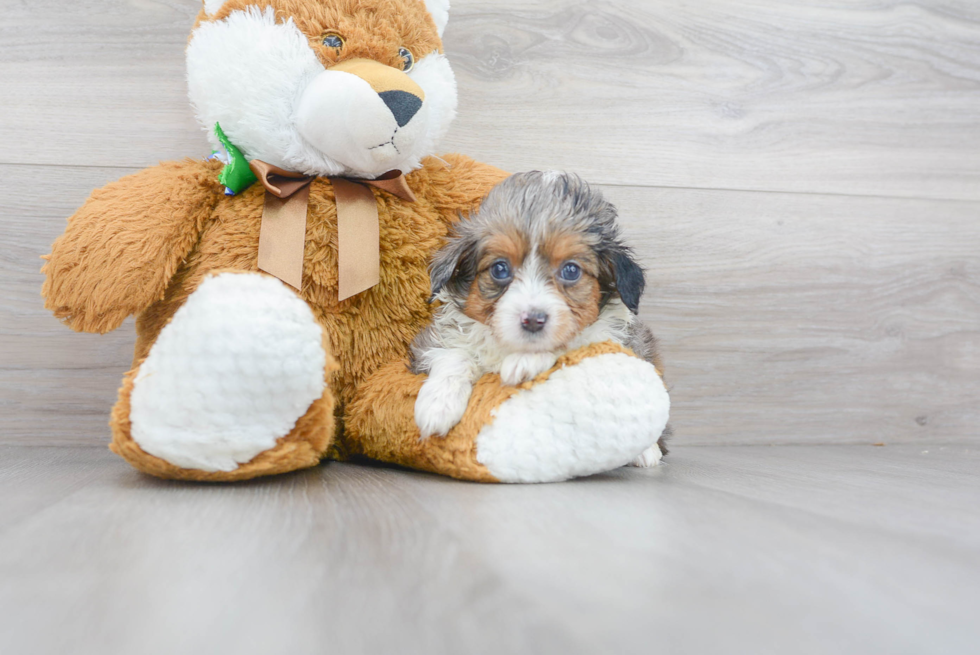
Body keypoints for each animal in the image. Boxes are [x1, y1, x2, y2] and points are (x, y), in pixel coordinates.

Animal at [410, 169, 668, 466]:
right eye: (500, 268)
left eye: (571, 270)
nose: (532, 320)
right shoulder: (431, 342)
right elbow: (455, 355)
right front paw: (438, 404)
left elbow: (572, 341)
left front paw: (525, 362)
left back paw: (647, 451)